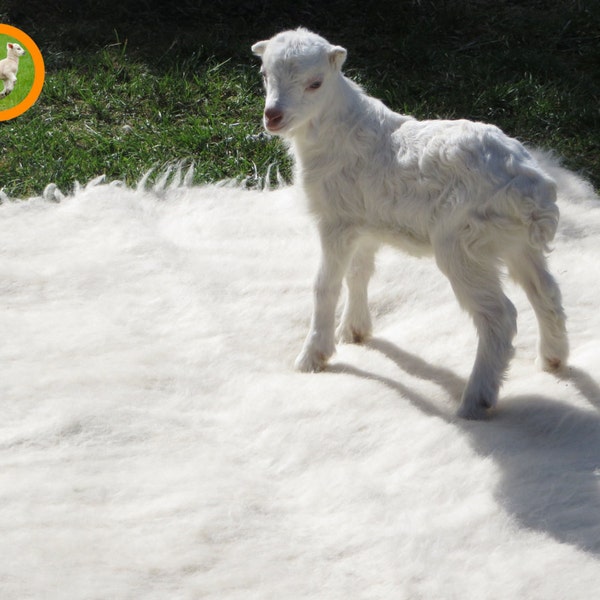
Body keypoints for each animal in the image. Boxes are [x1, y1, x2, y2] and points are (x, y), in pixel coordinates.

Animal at [252, 27, 568, 418]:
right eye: (264, 75)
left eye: (315, 83)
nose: (273, 117)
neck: (336, 126)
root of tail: (533, 189)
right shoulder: (364, 224)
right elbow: (359, 274)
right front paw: (355, 331)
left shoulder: (337, 221)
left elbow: (325, 285)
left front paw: (313, 357)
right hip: (515, 243)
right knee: (546, 293)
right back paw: (553, 358)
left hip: (463, 245)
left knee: (500, 317)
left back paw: (474, 401)